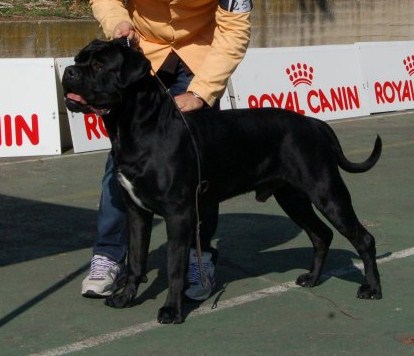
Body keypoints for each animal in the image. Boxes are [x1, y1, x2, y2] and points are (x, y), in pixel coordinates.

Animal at [63, 39, 384, 326]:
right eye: (79, 59)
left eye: (99, 65)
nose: (68, 71)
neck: (136, 128)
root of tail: (316, 124)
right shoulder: (136, 212)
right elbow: (136, 260)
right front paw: (125, 298)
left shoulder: (178, 214)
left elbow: (175, 266)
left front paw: (171, 311)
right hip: (293, 198)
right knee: (321, 235)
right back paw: (313, 278)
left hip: (327, 192)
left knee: (363, 238)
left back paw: (372, 289)